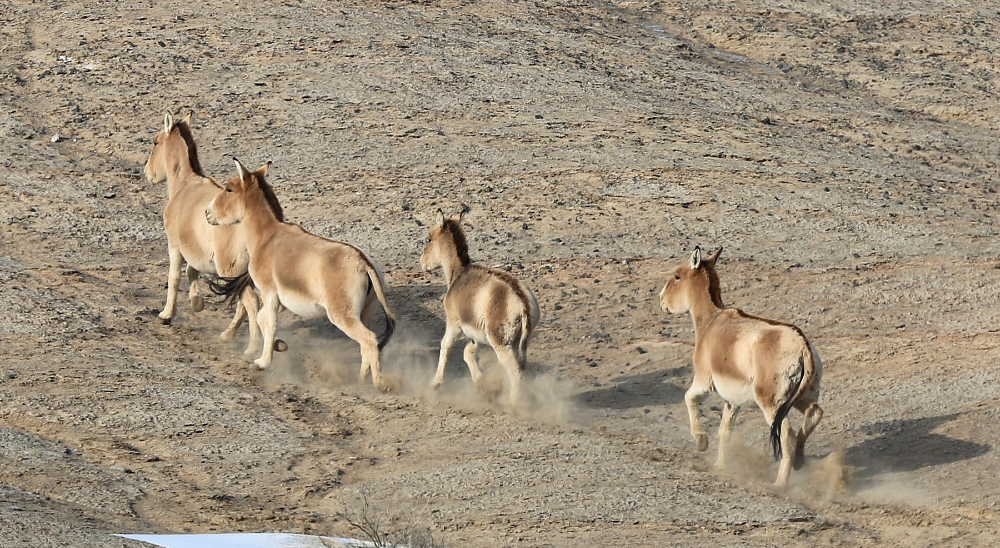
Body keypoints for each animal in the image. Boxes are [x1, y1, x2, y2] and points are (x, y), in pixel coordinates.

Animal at [145, 111, 264, 356]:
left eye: (155, 142)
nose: (147, 173)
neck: (185, 186)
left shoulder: (174, 245)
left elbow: (174, 277)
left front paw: (165, 315)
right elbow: (192, 271)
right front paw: (197, 303)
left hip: (230, 269)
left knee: (250, 302)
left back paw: (253, 346)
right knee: (243, 301)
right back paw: (228, 335)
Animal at [205, 158, 396, 390]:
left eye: (228, 189)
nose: (207, 213)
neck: (267, 237)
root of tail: (363, 263)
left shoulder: (268, 291)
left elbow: (270, 323)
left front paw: (262, 362)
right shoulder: (279, 298)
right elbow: (261, 318)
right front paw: (279, 346)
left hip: (341, 315)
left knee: (369, 339)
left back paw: (378, 384)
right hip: (366, 312)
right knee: (367, 344)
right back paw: (360, 379)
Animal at [418, 211, 540, 406]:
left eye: (428, 239)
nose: (422, 263)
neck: (459, 274)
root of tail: (523, 304)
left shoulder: (454, 324)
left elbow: (445, 346)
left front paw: (435, 383)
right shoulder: (475, 335)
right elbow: (467, 353)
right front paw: (482, 384)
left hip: (501, 343)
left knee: (514, 370)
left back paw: (513, 404)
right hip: (518, 342)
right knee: (522, 367)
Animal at [660, 246, 824, 486]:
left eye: (677, 276)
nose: (661, 300)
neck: (711, 323)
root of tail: (802, 346)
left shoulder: (704, 380)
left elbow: (689, 397)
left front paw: (701, 441)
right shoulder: (731, 400)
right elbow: (725, 431)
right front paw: (720, 466)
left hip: (772, 404)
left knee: (788, 435)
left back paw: (780, 484)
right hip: (799, 397)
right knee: (814, 412)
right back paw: (799, 462)